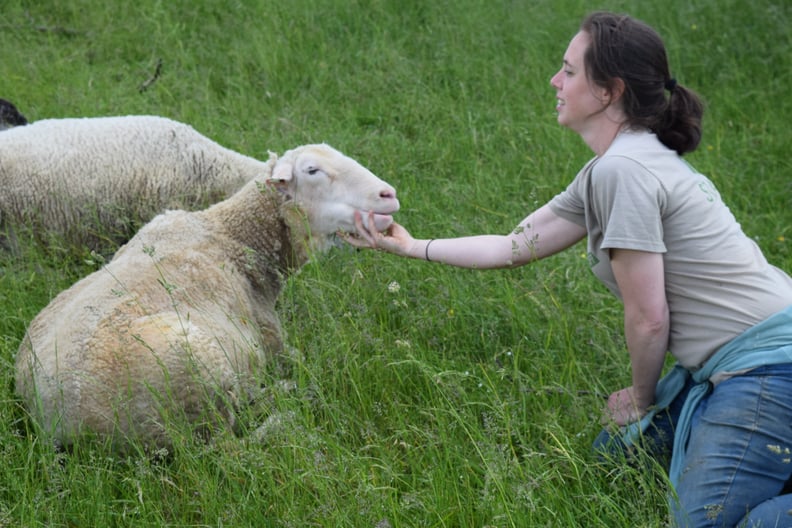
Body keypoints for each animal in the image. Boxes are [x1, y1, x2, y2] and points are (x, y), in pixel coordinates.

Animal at [17, 144, 402, 454]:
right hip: (195, 383)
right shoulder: (272, 341)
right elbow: (298, 360)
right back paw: (284, 408)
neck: (232, 235)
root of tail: (58, 423)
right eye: (312, 170)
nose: (389, 194)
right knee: (226, 451)